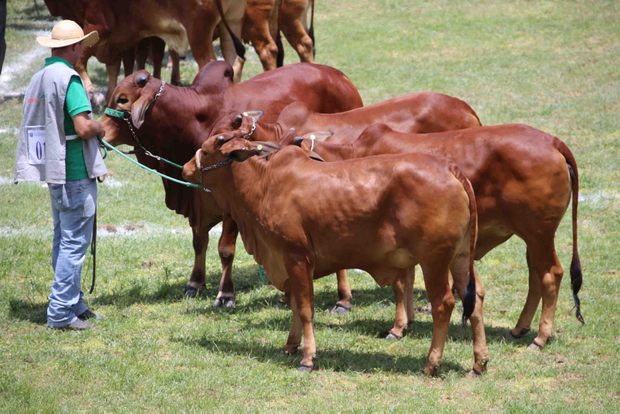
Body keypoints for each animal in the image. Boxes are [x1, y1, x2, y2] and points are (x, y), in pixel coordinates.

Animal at [101, 60, 364, 308]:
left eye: (122, 99)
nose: (100, 131)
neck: (193, 118)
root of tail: (340, 77)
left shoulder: (231, 204)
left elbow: (225, 248)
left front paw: (225, 294)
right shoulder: (197, 202)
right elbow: (199, 241)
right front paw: (195, 283)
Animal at [184, 133, 490, 376]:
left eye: (207, 149)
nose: (186, 167)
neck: (265, 184)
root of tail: (449, 168)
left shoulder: (296, 257)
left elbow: (305, 308)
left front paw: (307, 358)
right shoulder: (288, 262)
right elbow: (295, 305)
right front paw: (290, 345)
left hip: (434, 261)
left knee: (444, 304)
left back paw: (431, 363)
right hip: (460, 258)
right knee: (475, 298)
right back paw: (479, 363)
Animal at [284, 123, 584, 350]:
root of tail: (552, 141)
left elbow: (400, 284)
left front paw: (398, 326)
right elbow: (406, 279)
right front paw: (406, 322)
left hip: (539, 233)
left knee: (551, 274)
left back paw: (540, 337)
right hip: (532, 238)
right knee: (536, 275)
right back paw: (520, 327)